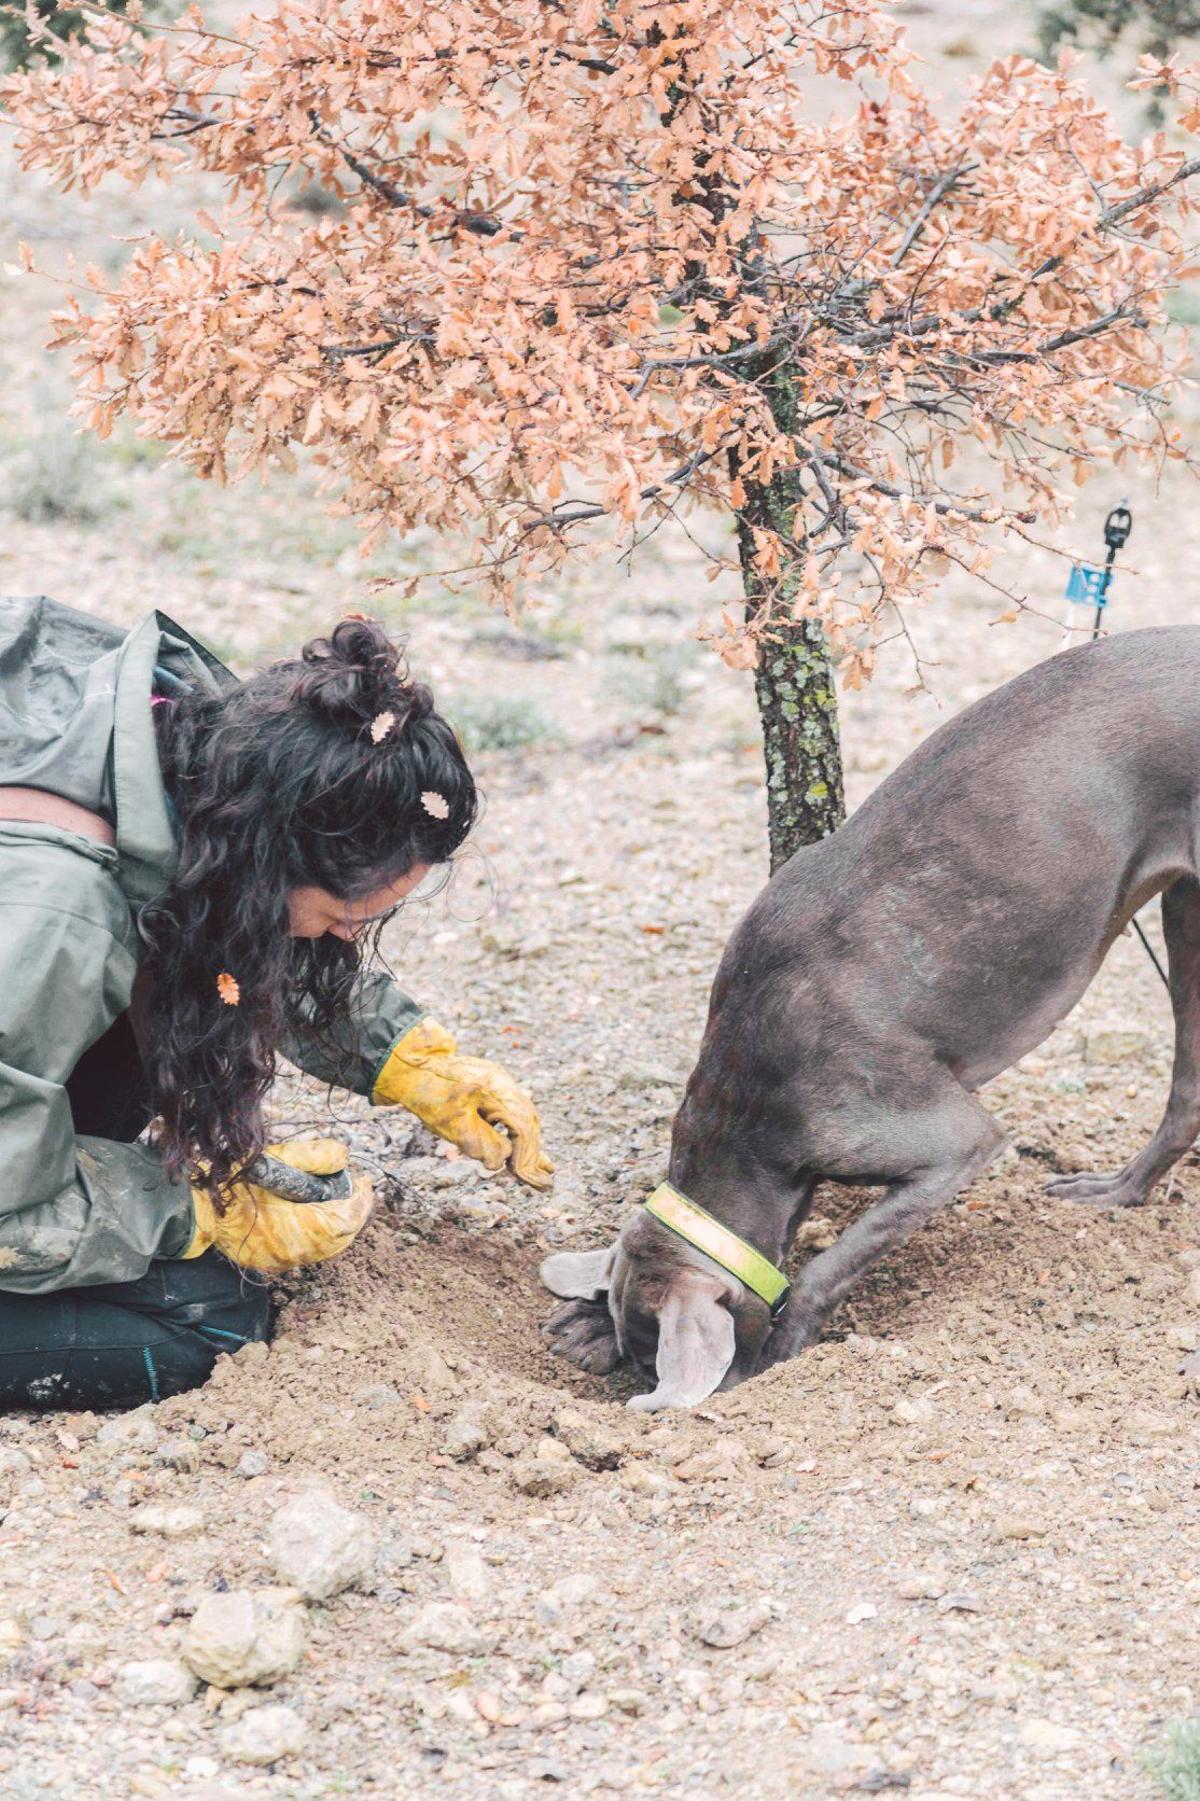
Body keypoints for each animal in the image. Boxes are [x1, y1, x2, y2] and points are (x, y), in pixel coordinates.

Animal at [540, 630, 1196, 1404]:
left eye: (651, 1365)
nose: (644, 1380)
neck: (742, 1106)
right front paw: (586, 1326)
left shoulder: (953, 1142)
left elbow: (834, 1260)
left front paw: (785, 1343)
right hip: (1185, 907)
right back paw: (1119, 1190)